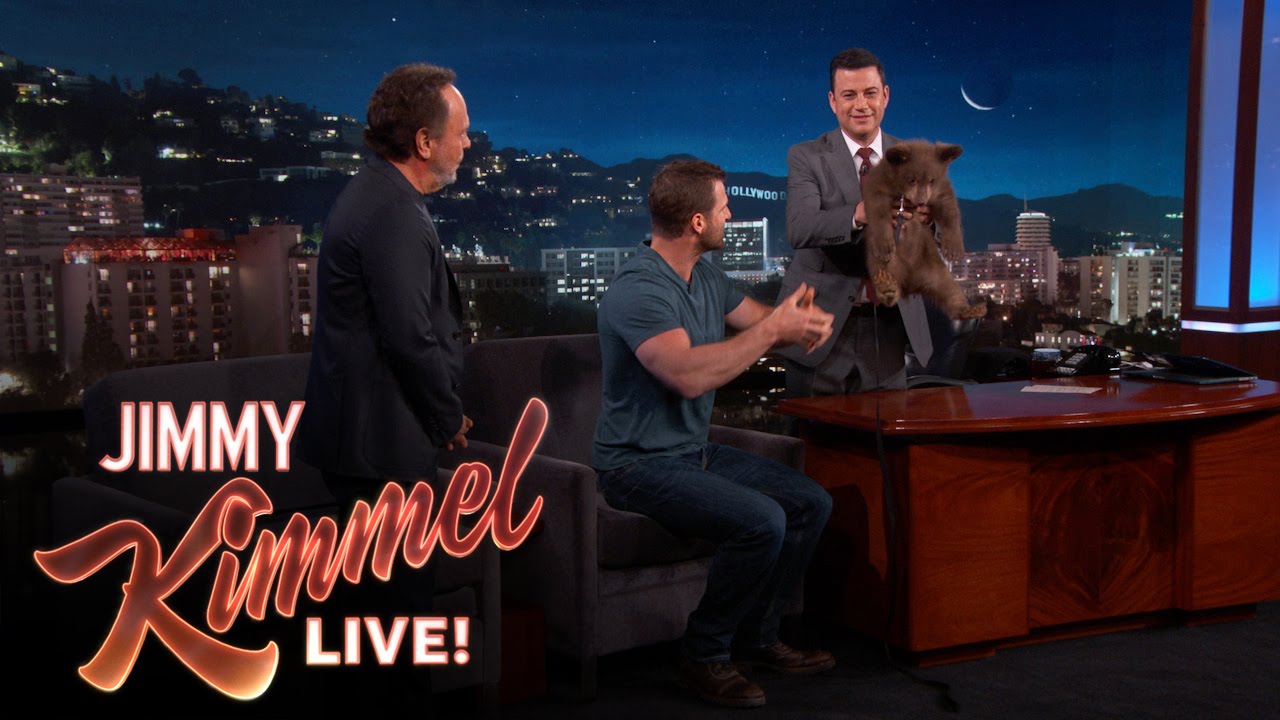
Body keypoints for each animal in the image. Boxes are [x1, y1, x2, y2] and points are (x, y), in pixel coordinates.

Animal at [862, 140, 986, 320]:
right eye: (912, 179)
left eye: (931, 180)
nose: (921, 201)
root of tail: (911, 285)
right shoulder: (880, 184)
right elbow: (877, 210)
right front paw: (884, 245)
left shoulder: (941, 190)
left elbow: (950, 212)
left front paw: (954, 249)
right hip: (884, 263)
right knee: (885, 270)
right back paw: (887, 287)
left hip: (936, 270)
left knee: (950, 290)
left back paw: (970, 310)